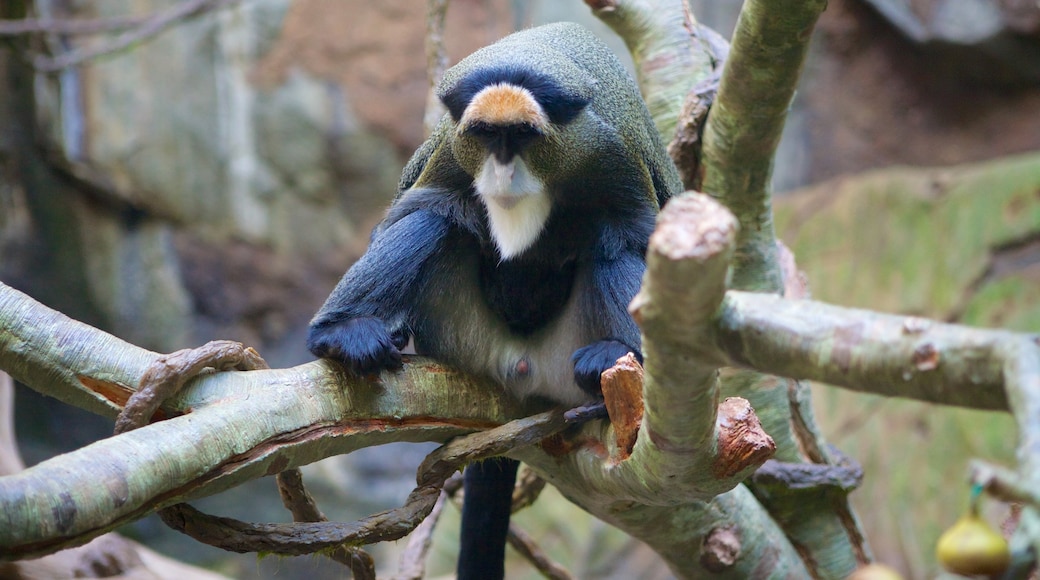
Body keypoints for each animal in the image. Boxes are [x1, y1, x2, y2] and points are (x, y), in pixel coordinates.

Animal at [307, 21, 682, 580]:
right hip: (460, 334)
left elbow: (632, 234)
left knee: (609, 243)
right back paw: (342, 332)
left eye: (522, 136)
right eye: (487, 135)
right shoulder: (451, 149)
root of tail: (519, 370)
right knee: (435, 216)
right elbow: (413, 209)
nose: (503, 169)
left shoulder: (609, 153)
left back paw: (615, 356)